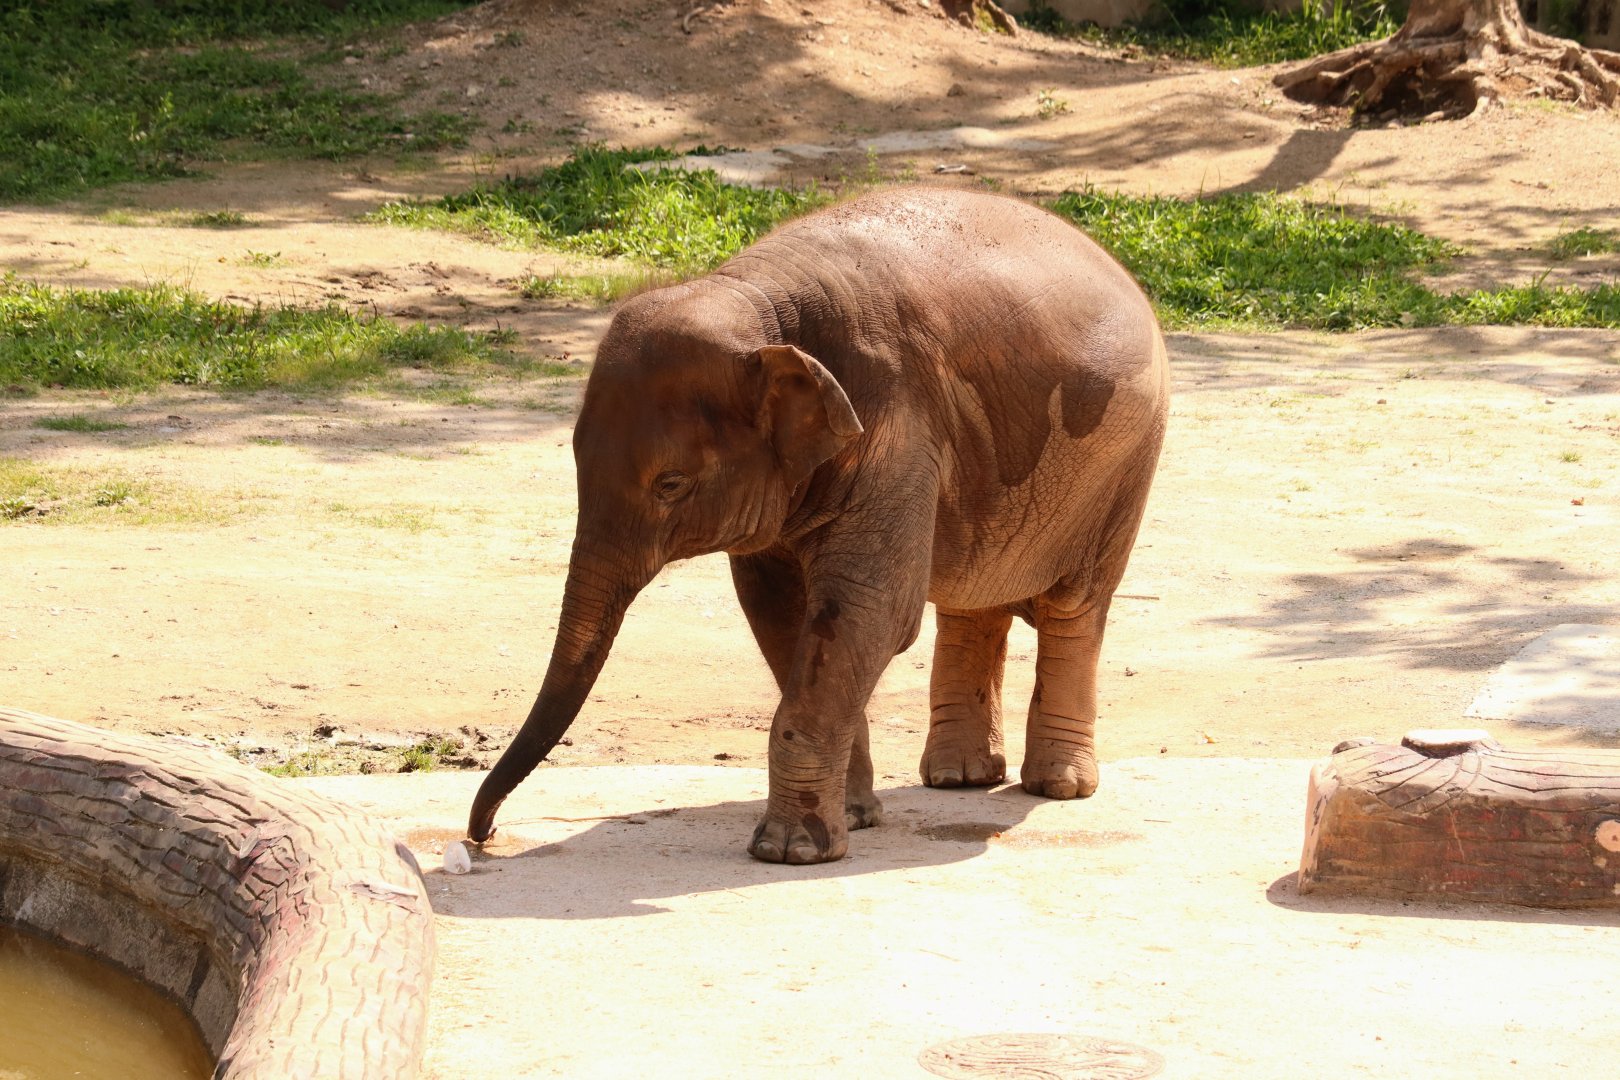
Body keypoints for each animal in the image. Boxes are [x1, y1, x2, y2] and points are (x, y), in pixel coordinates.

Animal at [468, 185, 1170, 864]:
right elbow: (780, 611)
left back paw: (1058, 787)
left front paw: (791, 851)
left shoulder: (897, 427)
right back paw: (960, 779)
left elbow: (867, 610)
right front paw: (853, 820)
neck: (756, 301)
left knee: (1074, 608)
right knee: (976, 599)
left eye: (670, 484)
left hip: (1123, 465)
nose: (484, 836)